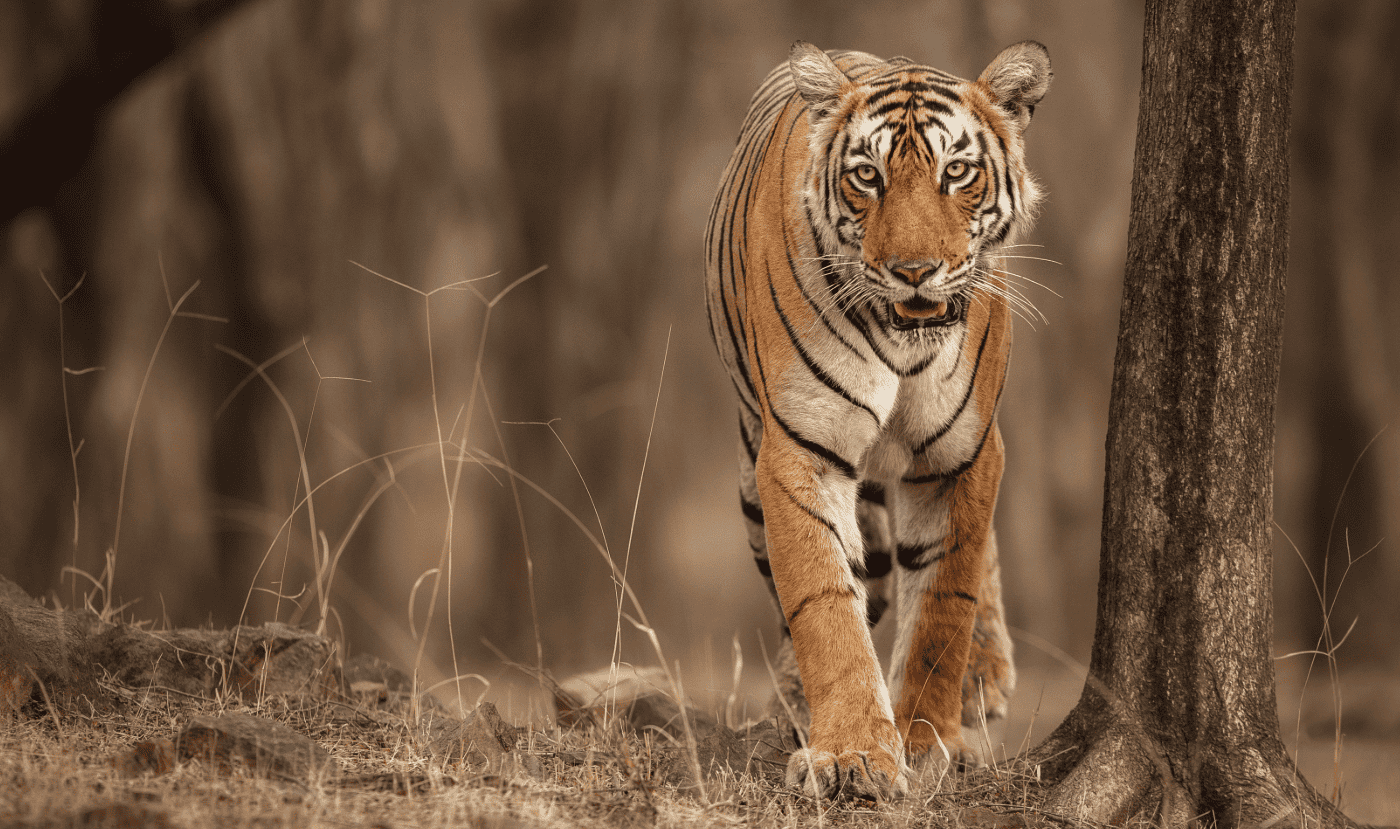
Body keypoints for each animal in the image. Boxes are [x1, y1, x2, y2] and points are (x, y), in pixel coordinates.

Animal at [703, 40, 1051, 800]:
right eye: (868, 176)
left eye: (957, 172)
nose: (915, 270)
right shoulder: (800, 448)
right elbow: (825, 603)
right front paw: (853, 754)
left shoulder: (965, 454)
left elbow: (945, 603)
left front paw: (925, 741)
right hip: (749, 475)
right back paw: (796, 703)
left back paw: (984, 676)